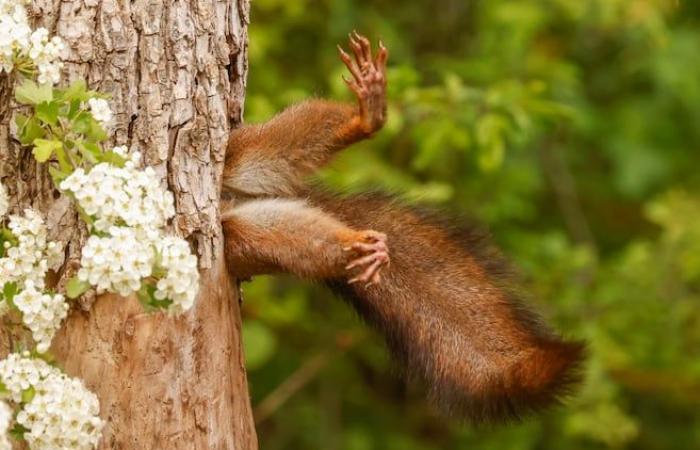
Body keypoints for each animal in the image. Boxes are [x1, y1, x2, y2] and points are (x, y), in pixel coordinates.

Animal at [220, 32, 584, 426]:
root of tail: (231, 200)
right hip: (242, 237)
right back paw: (358, 246)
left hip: (238, 154)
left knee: (280, 144)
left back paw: (366, 118)